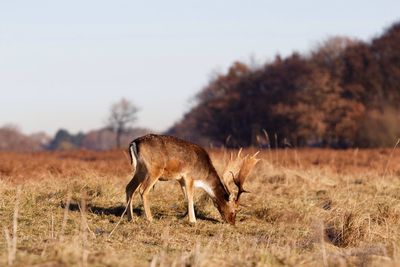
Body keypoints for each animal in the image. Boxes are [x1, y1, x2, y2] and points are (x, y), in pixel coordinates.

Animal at [125, 135, 260, 225]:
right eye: (234, 210)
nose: (232, 223)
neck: (203, 176)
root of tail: (134, 143)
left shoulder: (181, 180)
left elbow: (186, 197)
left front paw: (183, 217)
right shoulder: (189, 176)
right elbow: (190, 198)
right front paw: (193, 220)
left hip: (139, 171)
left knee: (129, 188)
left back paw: (130, 218)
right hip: (154, 169)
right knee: (143, 191)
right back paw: (150, 219)